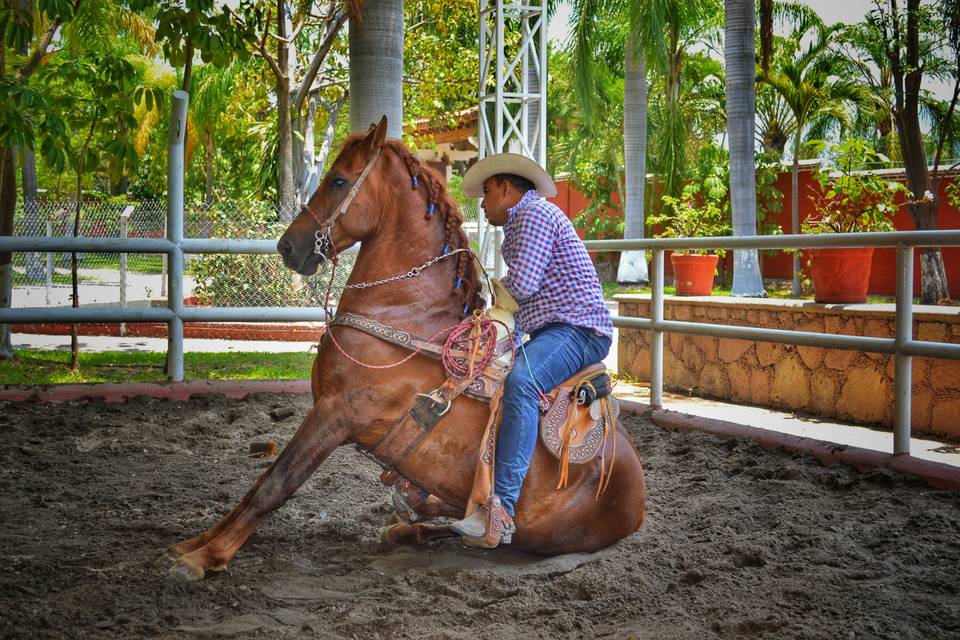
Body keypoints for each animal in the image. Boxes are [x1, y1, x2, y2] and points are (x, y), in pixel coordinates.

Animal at [161, 117, 648, 584]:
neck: (406, 315)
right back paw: (408, 517)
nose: (288, 246)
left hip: (535, 532)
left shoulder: (336, 414)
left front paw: (206, 558)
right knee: (439, 518)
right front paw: (192, 543)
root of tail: (638, 502)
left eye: (338, 180)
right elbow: (259, 481)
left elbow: (276, 483)